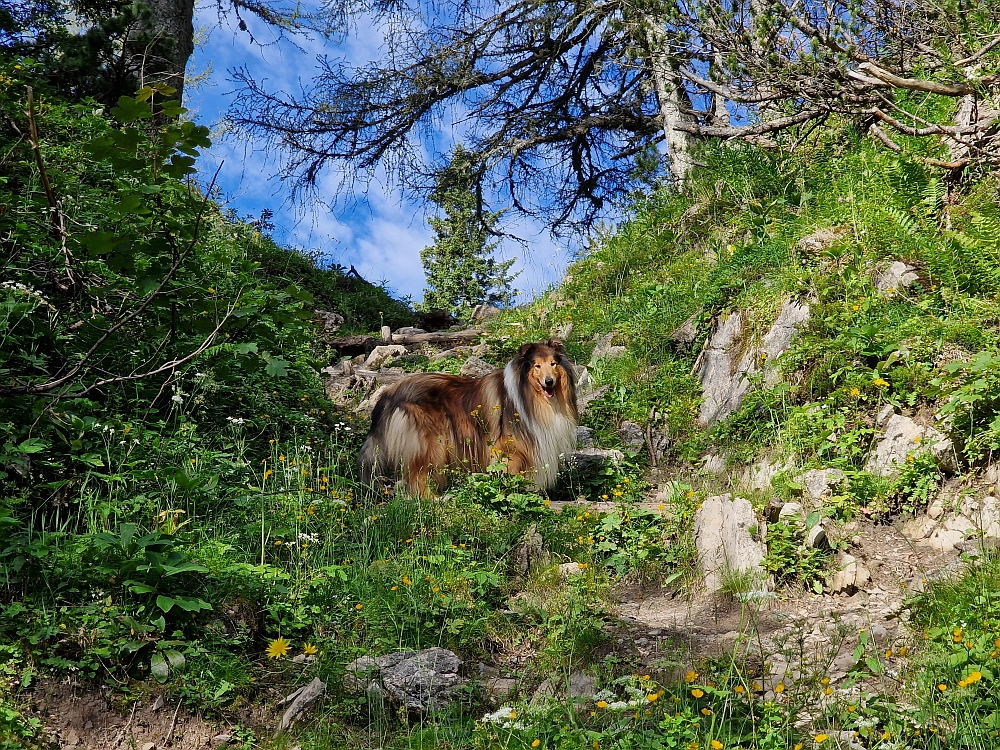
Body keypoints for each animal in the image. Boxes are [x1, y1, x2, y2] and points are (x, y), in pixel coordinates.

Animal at [360, 340, 580, 494]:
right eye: (537, 366)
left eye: (553, 364)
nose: (549, 382)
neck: (530, 396)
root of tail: (389, 393)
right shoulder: (507, 449)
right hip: (431, 446)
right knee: (418, 479)